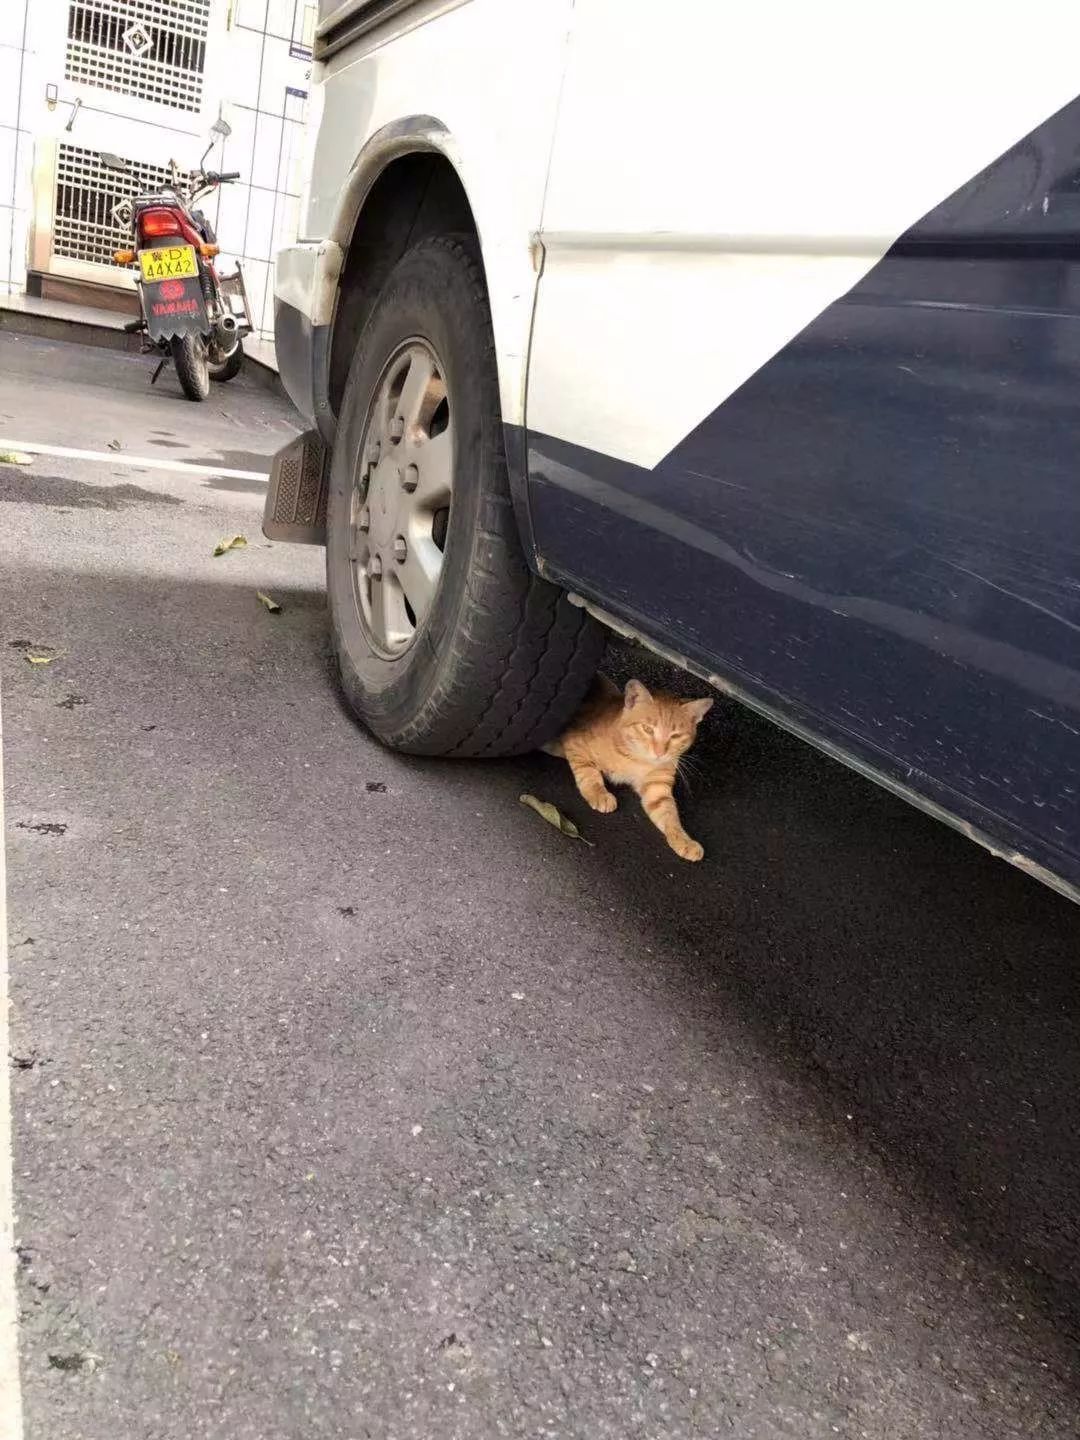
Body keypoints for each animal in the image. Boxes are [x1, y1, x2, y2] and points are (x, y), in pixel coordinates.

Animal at [544, 671, 714, 852]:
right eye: (647, 729)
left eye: (675, 736)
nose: (660, 753)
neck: (637, 760)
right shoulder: (575, 743)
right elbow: (589, 773)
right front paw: (599, 793)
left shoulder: (657, 788)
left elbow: (669, 813)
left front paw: (683, 840)